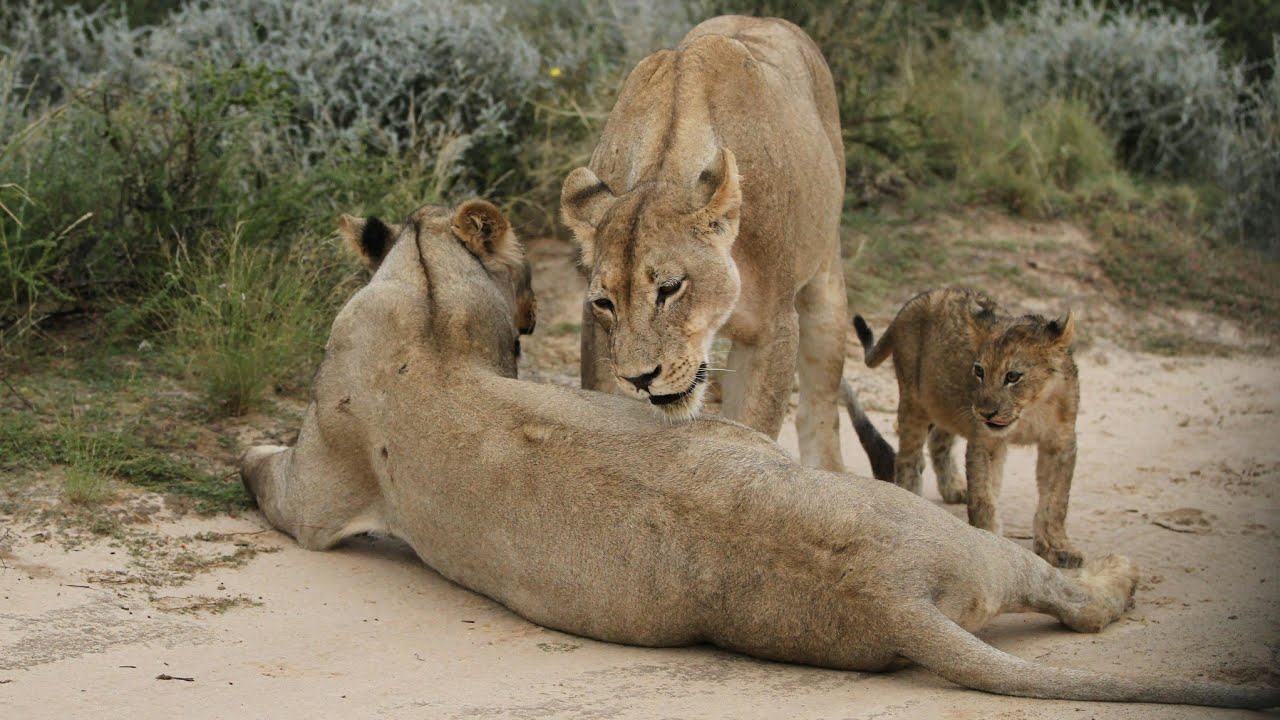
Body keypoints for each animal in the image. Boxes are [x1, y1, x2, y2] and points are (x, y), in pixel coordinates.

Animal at [560, 15, 849, 471]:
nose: (640, 379)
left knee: (819, 405)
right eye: (605, 303)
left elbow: (755, 428)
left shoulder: (773, 329)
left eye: (670, 288)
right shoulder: (598, 337)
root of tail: (764, 18)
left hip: (825, 277)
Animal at [851, 288, 1085, 568]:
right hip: (914, 398)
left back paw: (953, 488)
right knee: (909, 457)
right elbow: (984, 495)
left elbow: (1056, 500)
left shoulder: (1059, 443)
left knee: (938, 440)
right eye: (979, 371)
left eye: (1013, 376)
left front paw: (1057, 547)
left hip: (946, 405)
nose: (985, 412)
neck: (1031, 409)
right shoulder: (986, 441)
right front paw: (991, 538)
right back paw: (912, 499)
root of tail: (917, 298)